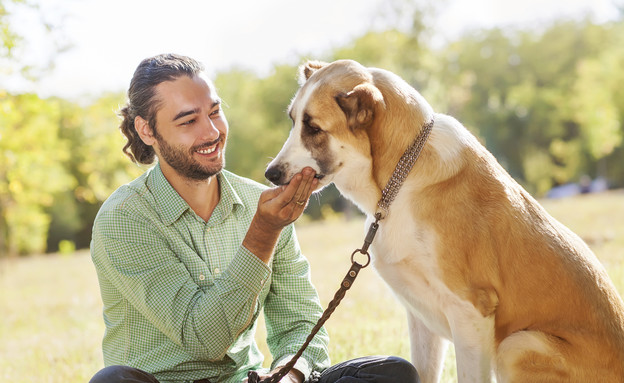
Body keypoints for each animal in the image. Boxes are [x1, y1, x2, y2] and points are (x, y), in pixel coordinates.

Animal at [264, 58, 624, 382]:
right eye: (293, 121)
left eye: (314, 128)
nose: (271, 174)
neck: (399, 180)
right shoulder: (421, 318)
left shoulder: (471, 313)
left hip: (517, 344)